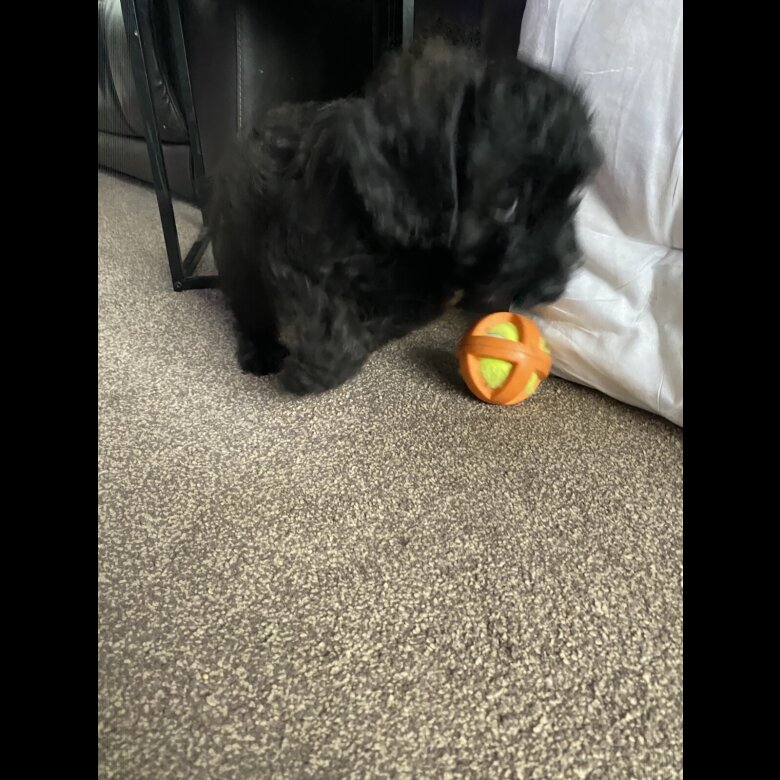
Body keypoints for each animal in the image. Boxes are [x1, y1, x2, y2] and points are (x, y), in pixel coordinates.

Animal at [210, 39, 601, 395]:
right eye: (508, 204)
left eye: (573, 197)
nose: (554, 288)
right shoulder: (294, 258)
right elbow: (330, 326)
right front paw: (312, 373)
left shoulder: (422, 299)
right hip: (237, 250)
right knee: (249, 303)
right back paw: (261, 349)